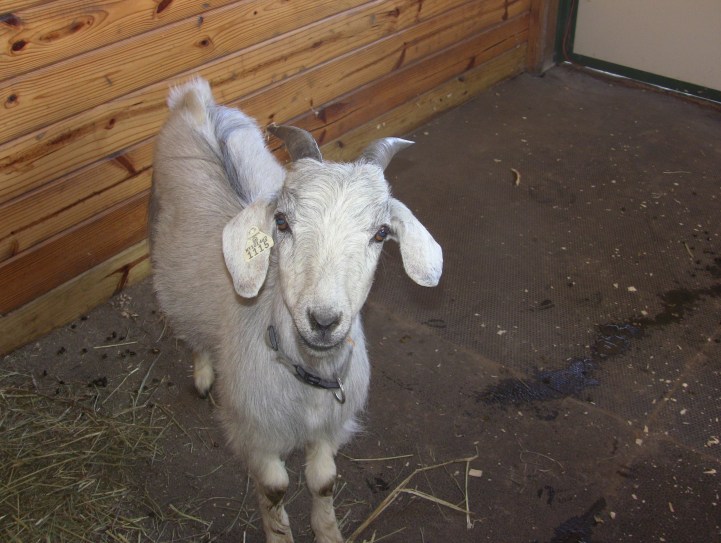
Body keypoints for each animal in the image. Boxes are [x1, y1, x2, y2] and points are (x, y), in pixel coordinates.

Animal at [149, 78, 442, 542]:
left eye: (381, 233)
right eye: (282, 223)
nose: (323, 321)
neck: (306, 377)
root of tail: (195, 99)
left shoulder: (329, 429)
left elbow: (323, 482)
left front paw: (328, 531)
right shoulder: (255, 434)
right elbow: (275, 488)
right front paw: (279, 532)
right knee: (188, 322)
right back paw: (203, 373)